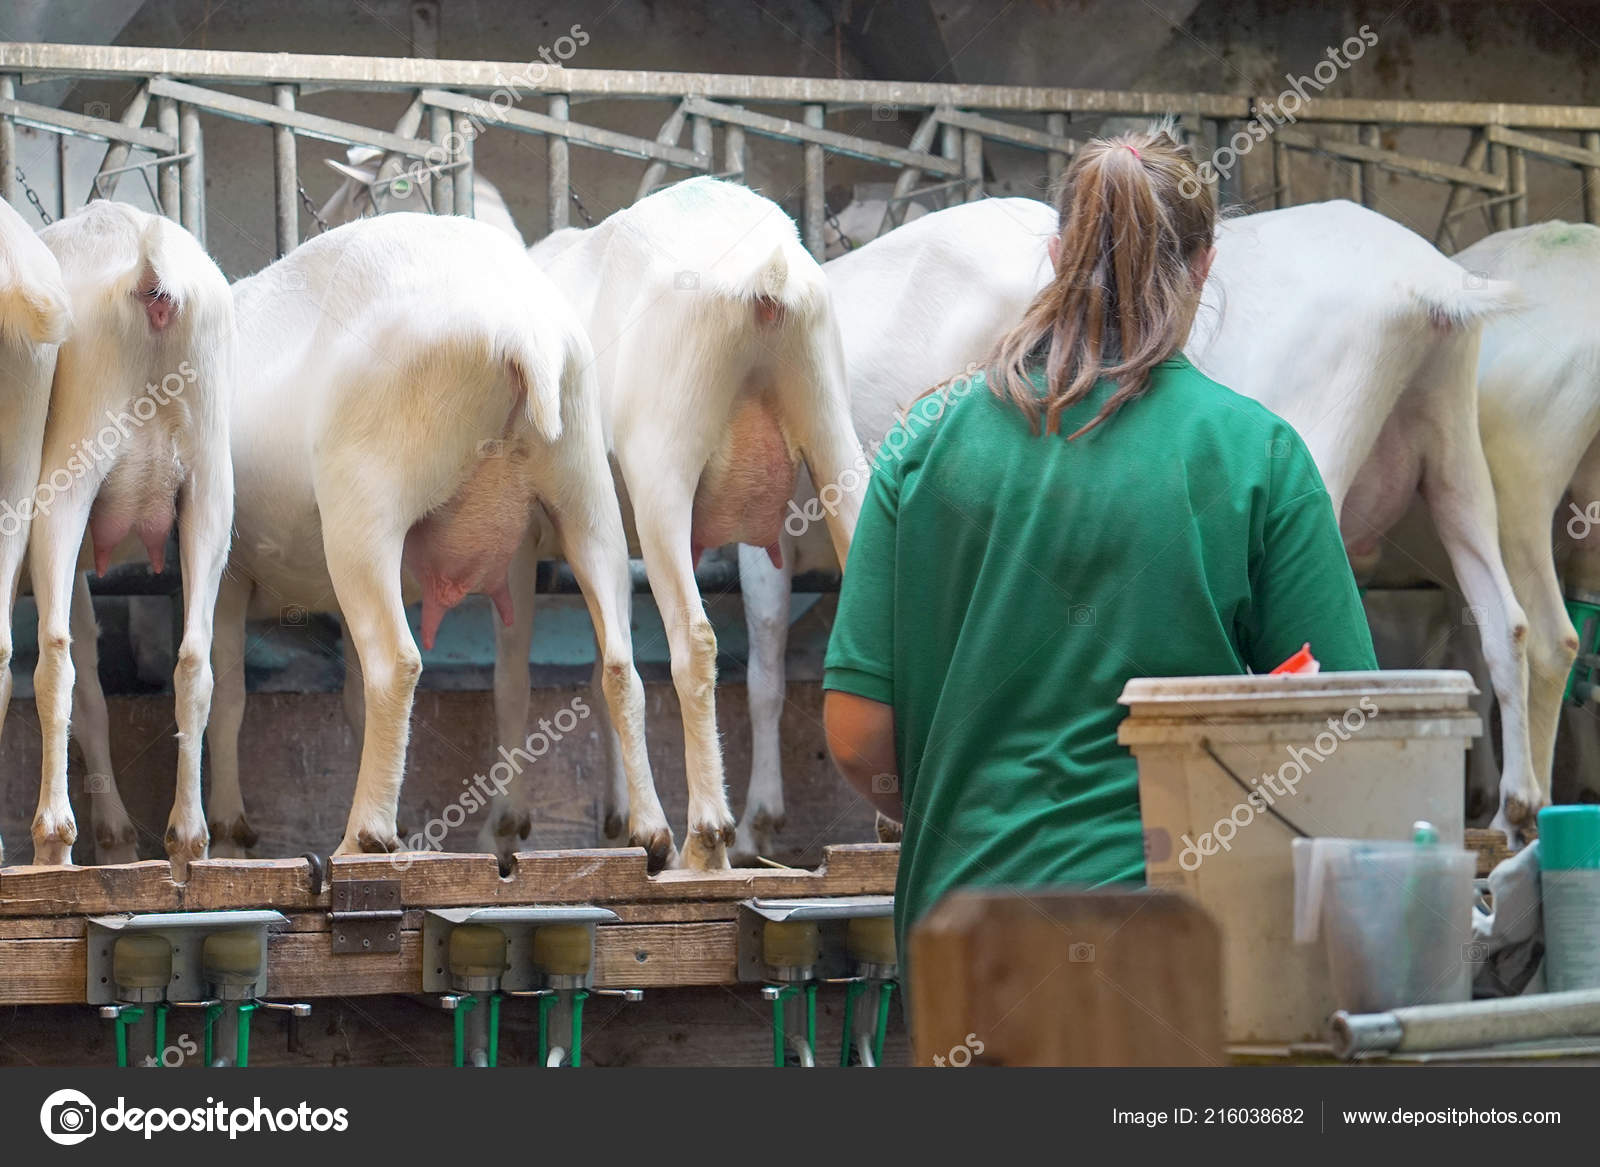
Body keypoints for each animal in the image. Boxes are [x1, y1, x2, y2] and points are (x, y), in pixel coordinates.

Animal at [26, 200, 233, 870]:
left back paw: (52, 835)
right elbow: (95, 686)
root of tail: (150, 281)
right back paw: (187, 838)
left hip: (66, 473)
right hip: (210, 483)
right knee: (193, 660)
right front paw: (115, 835)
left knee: (54, 653)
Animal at [200, 211, 662, 858]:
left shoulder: (232, 573)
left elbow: (229, 695)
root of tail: (527, 335)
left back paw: (364, 838)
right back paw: (653, 834)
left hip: (365, 505)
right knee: (622, 667)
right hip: (585, 492)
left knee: (395, 662)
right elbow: (348, 699)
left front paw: (226, 830)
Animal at [473, 177, 864, 870]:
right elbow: (606, 662)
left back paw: (705, 834)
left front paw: (510, 824)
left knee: (695, 638)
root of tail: (767, 279)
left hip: (664, 466)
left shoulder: (520, 539)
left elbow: (516, 675)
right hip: (828, 421)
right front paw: (619, 816)